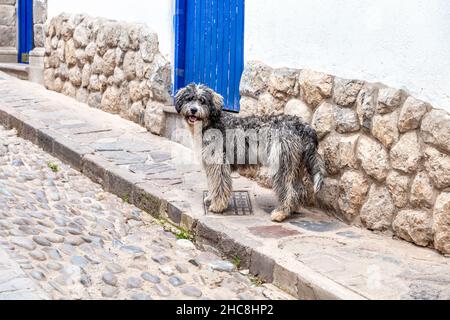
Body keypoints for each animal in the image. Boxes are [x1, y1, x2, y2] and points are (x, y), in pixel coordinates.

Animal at [174, 83, 326, 222]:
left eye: (202, 101)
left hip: (281, 164)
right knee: (297, 189)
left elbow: (219, 184)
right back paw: (292, 209)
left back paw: (281, 213)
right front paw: (211, 198)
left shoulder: (219, 164)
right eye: (189, 98)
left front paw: (218, 206)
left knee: (288, 190)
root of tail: (302, 125)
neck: (211, 123)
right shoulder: (210, 164)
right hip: (295, 165)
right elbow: (213, 184)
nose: (193, 110)